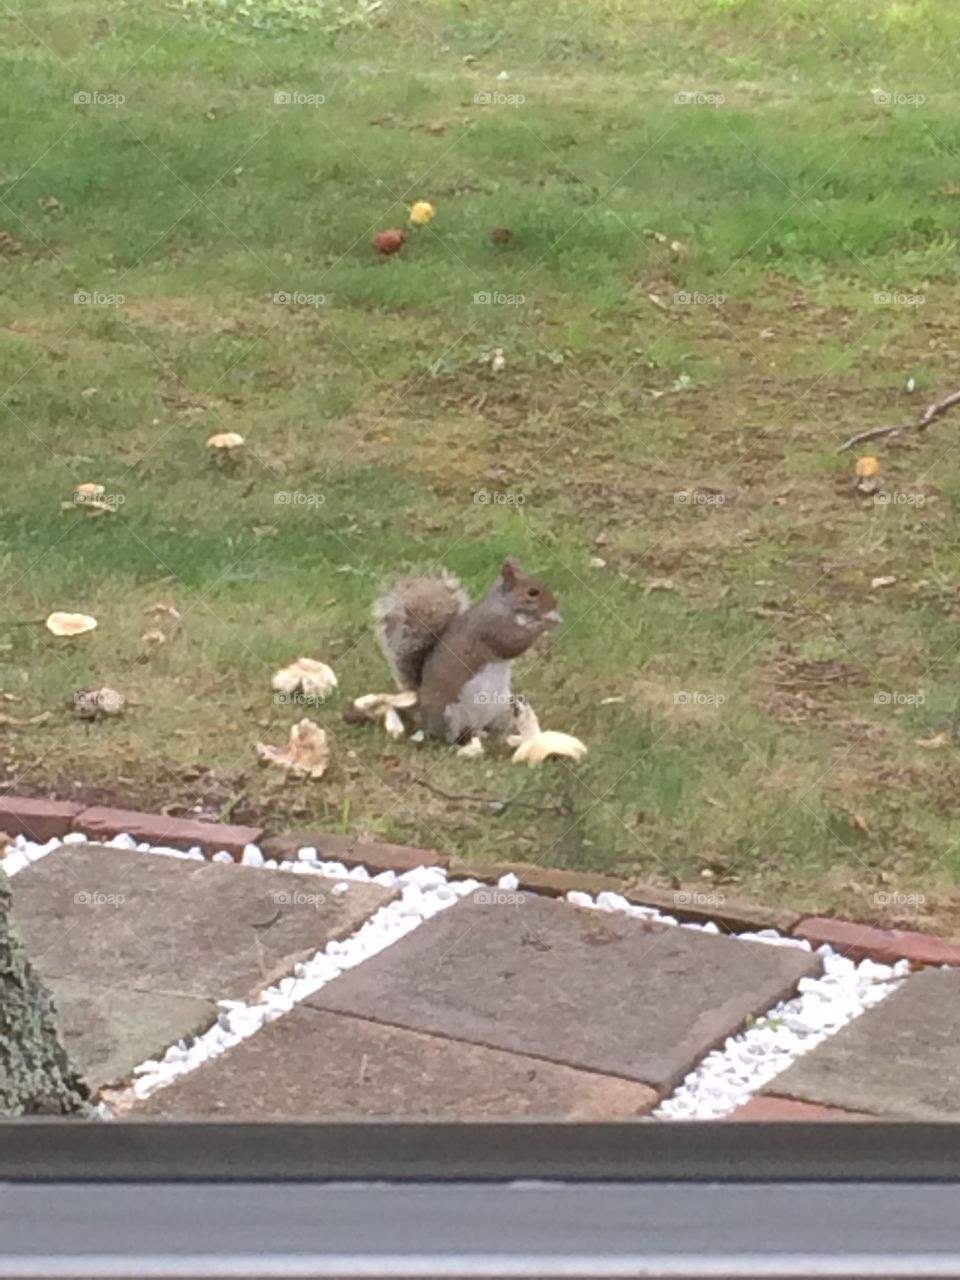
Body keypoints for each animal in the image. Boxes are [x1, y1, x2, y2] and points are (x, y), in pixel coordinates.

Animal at [371, 558, 560, 747]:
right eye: (532, 592)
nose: (555, 604)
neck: (506, 606)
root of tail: (421, 705)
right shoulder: (492, 627)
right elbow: (513, 642)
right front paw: (546, 622)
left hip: (503, 709)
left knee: (491, 729)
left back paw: (496, 737)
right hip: (450, 715)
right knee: (449, 736)